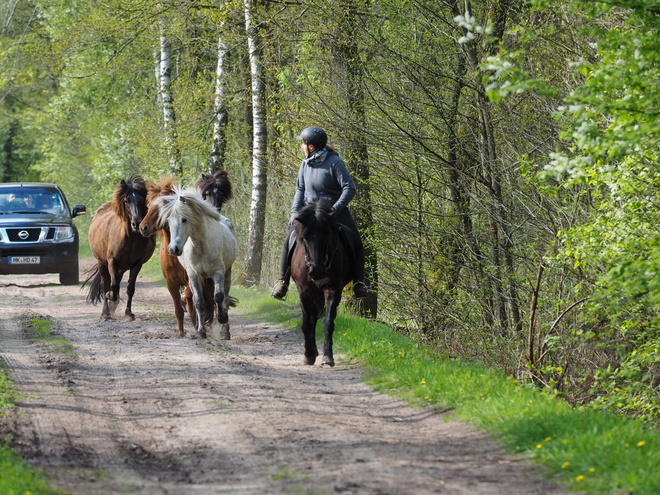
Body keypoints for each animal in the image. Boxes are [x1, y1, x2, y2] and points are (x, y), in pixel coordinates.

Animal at [85, 176, 156, 320]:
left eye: (142, 200)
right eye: (126, 201)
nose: (137, 224)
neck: (129, 238)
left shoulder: (136, 264)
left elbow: (130, 288)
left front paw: (129, 313)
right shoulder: (112, 262)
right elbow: (112, 286)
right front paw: (109, 298)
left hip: (122, 268)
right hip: (102, 263)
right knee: (105, 283)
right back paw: (106, 312)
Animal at [153, 187, 238, 340]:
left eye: (184, 219)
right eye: (168, 221)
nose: (173, 249)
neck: (201, 246)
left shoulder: (218, 272)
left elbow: (219, 297)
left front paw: (222, 318)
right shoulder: (194, 275)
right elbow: (199, 302)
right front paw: (201, 331)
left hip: (227, 272)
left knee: (226, 298)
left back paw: (225, 331)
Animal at [288, 200, 350, 366]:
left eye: (326, 236)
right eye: (304, 238)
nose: (316, 272)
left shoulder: (333, 289)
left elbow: (328, 322)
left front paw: (327, 356)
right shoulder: (303, 291)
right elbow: (307, 323)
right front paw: (308, 354)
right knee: (312, 318)